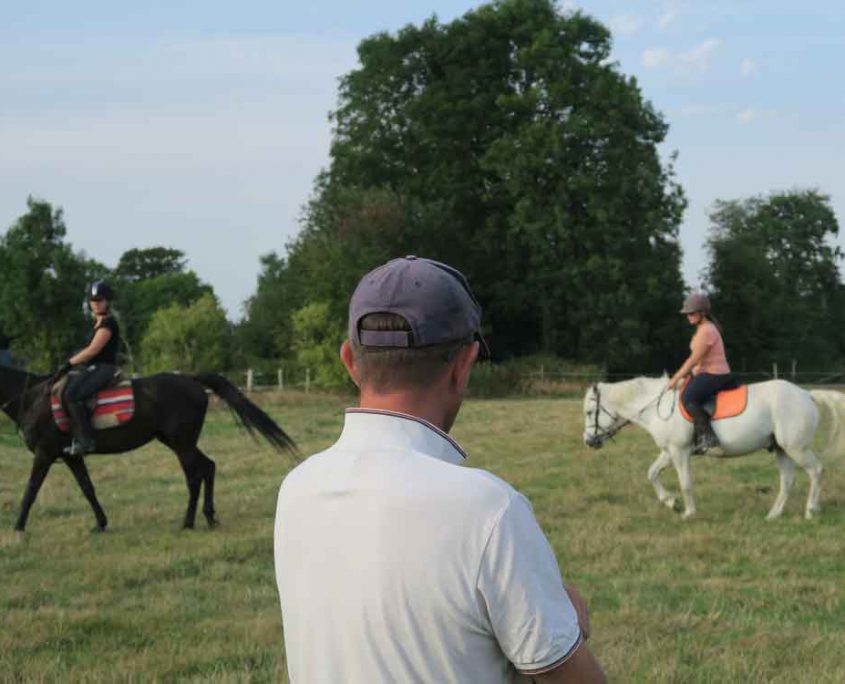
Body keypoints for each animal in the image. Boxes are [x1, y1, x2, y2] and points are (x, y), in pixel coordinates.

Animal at [0, 366, 296, 532]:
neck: (31, 399)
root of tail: (191, 380)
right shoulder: (70, 456)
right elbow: (87, 488)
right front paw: (100, 523)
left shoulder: (45, 453)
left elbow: (31, 490)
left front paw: (18, 527)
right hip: (177, 441)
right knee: (208, 467)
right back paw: (207, 517)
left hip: (181, 443)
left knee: (195, 475)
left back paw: (188, 522)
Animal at [584, 380, 844, 520]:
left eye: (589, 412)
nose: (588, 442)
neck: (658, 408)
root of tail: (806, 394)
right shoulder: (669, 452)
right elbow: (652, 473)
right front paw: (670, 502)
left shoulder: (679, 452)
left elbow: (686, 483)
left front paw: (688, 512)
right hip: (781, 449)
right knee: (788, 481)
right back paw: (774, 514)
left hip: (796, 447)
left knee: (816, 471)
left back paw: (810, 510)